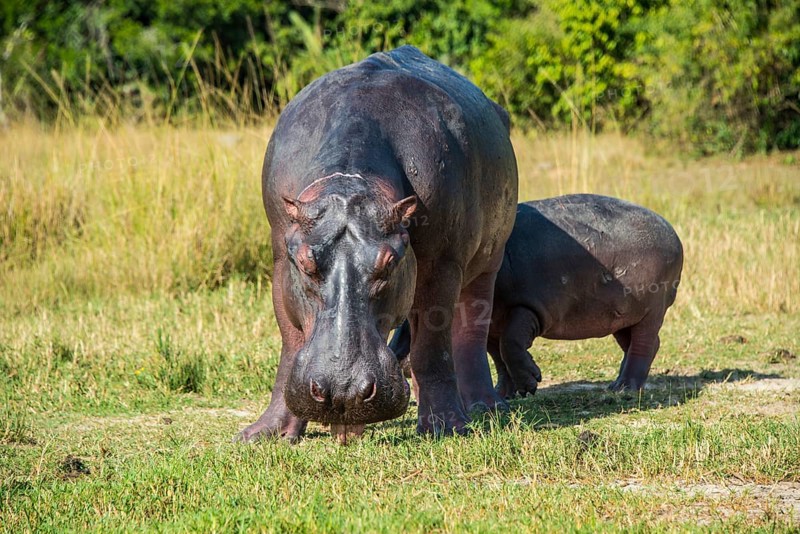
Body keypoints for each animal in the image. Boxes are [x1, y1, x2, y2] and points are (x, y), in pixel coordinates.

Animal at [237, 46, 518, 443]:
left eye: (389, 262)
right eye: (305, 263)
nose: (342, 391)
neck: (351, 180)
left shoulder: (442, 264)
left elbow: (432, 346)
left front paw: (446, 427)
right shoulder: (280, 260)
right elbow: (291, 343)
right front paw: (265, 434)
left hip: (487, 261)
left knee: (469, 331)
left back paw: (485, 408)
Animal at [391, 194, 683, 396]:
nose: (397, 356)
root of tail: (673, 233)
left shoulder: (526, 307)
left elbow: (509, 344)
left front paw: (530, 383)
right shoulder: (493, 324)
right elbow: (498, 357)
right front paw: (505, 393)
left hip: (652, 311)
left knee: (643, 344)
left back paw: (624, 388)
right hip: (623, 316)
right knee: (643, 343)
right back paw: (618, 383)